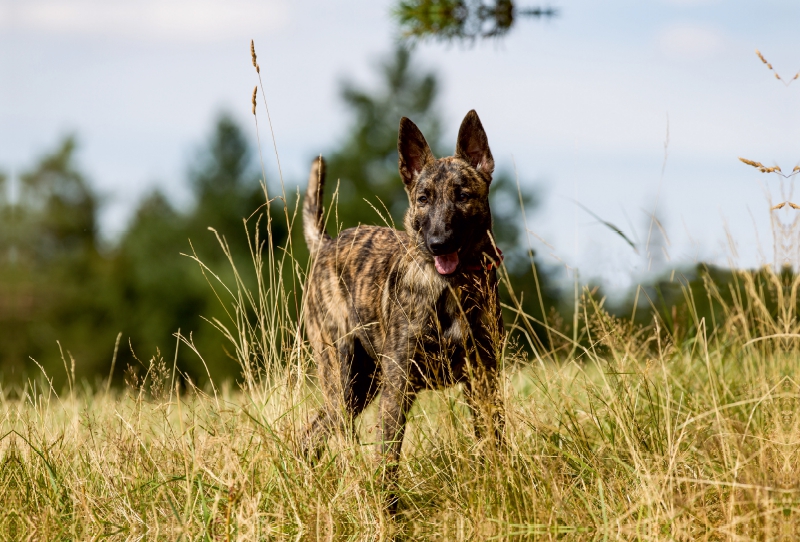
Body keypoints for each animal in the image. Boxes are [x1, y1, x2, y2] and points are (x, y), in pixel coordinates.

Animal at [304, 110, 504, 484]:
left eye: (462, 195)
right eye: (423, 198)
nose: (438, 243)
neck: (450, 288)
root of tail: (326, 244)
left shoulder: (484, 378)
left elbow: (493, 439)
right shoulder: (398, 384)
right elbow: (388, 460)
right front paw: (387, 502)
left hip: (363, 384)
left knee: (313, 430)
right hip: (343, 374)